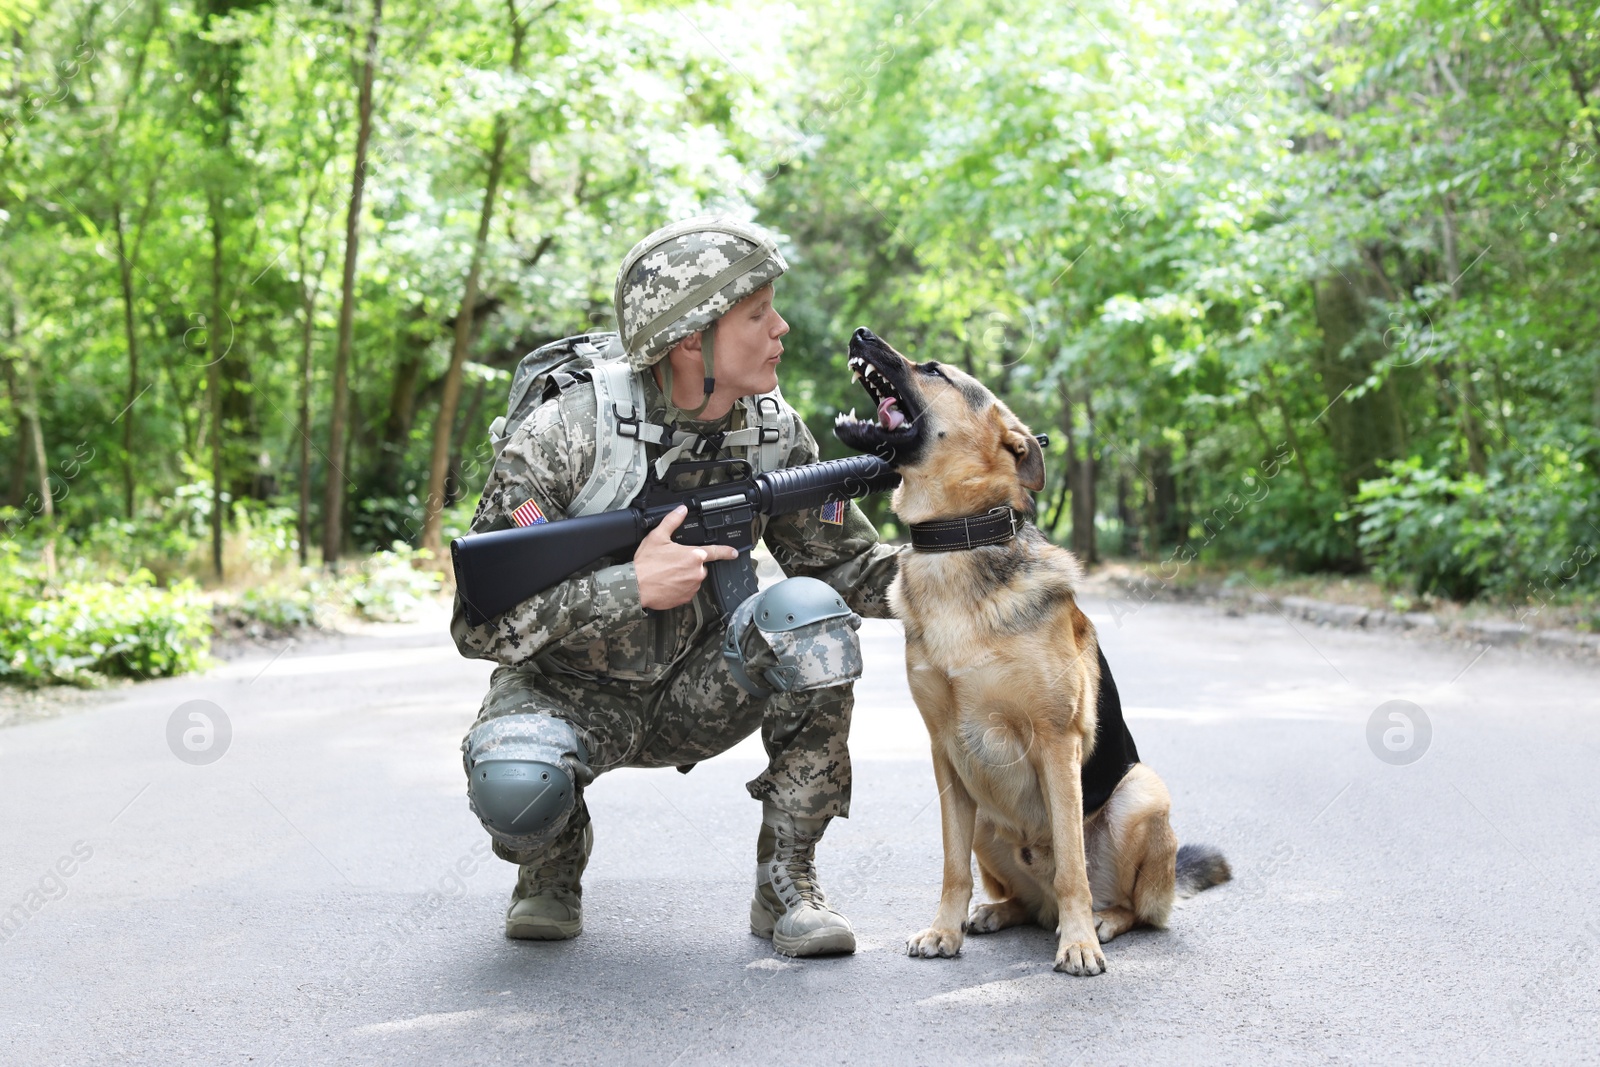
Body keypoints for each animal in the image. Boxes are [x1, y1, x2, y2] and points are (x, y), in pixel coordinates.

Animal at [832, 326, 1228, 979]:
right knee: (1021, 897)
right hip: (986, 816)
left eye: (933, 369)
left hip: (1142, 794)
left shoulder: (1054, 741)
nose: (861, 333)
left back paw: (1100, 922)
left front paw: (1079, 944)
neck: (960, 538)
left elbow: (1071, 864)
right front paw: (944, 930)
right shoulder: (945, 754)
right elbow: (951, 867)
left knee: (1130, 905)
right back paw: (996, 913)